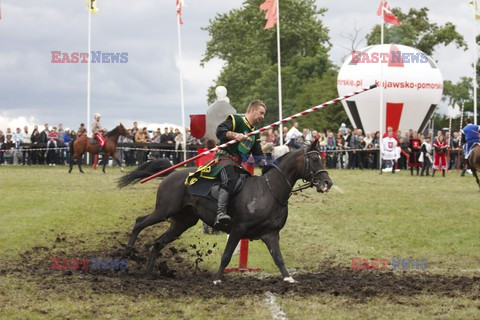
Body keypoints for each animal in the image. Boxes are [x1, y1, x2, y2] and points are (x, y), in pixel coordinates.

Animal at [118, 141, 332, 284]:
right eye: (314, 159)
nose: (327, 183)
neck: (268, 191)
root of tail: (171, 174)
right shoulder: (237, 229)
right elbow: (227, 255)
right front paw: (217, 279)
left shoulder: (271, 234)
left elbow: (278, 258)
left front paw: (288, 279)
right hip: (164, 210)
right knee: (139, 222)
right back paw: (127, 253)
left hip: (183, 222)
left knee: (157, 243)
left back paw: (147, 272)